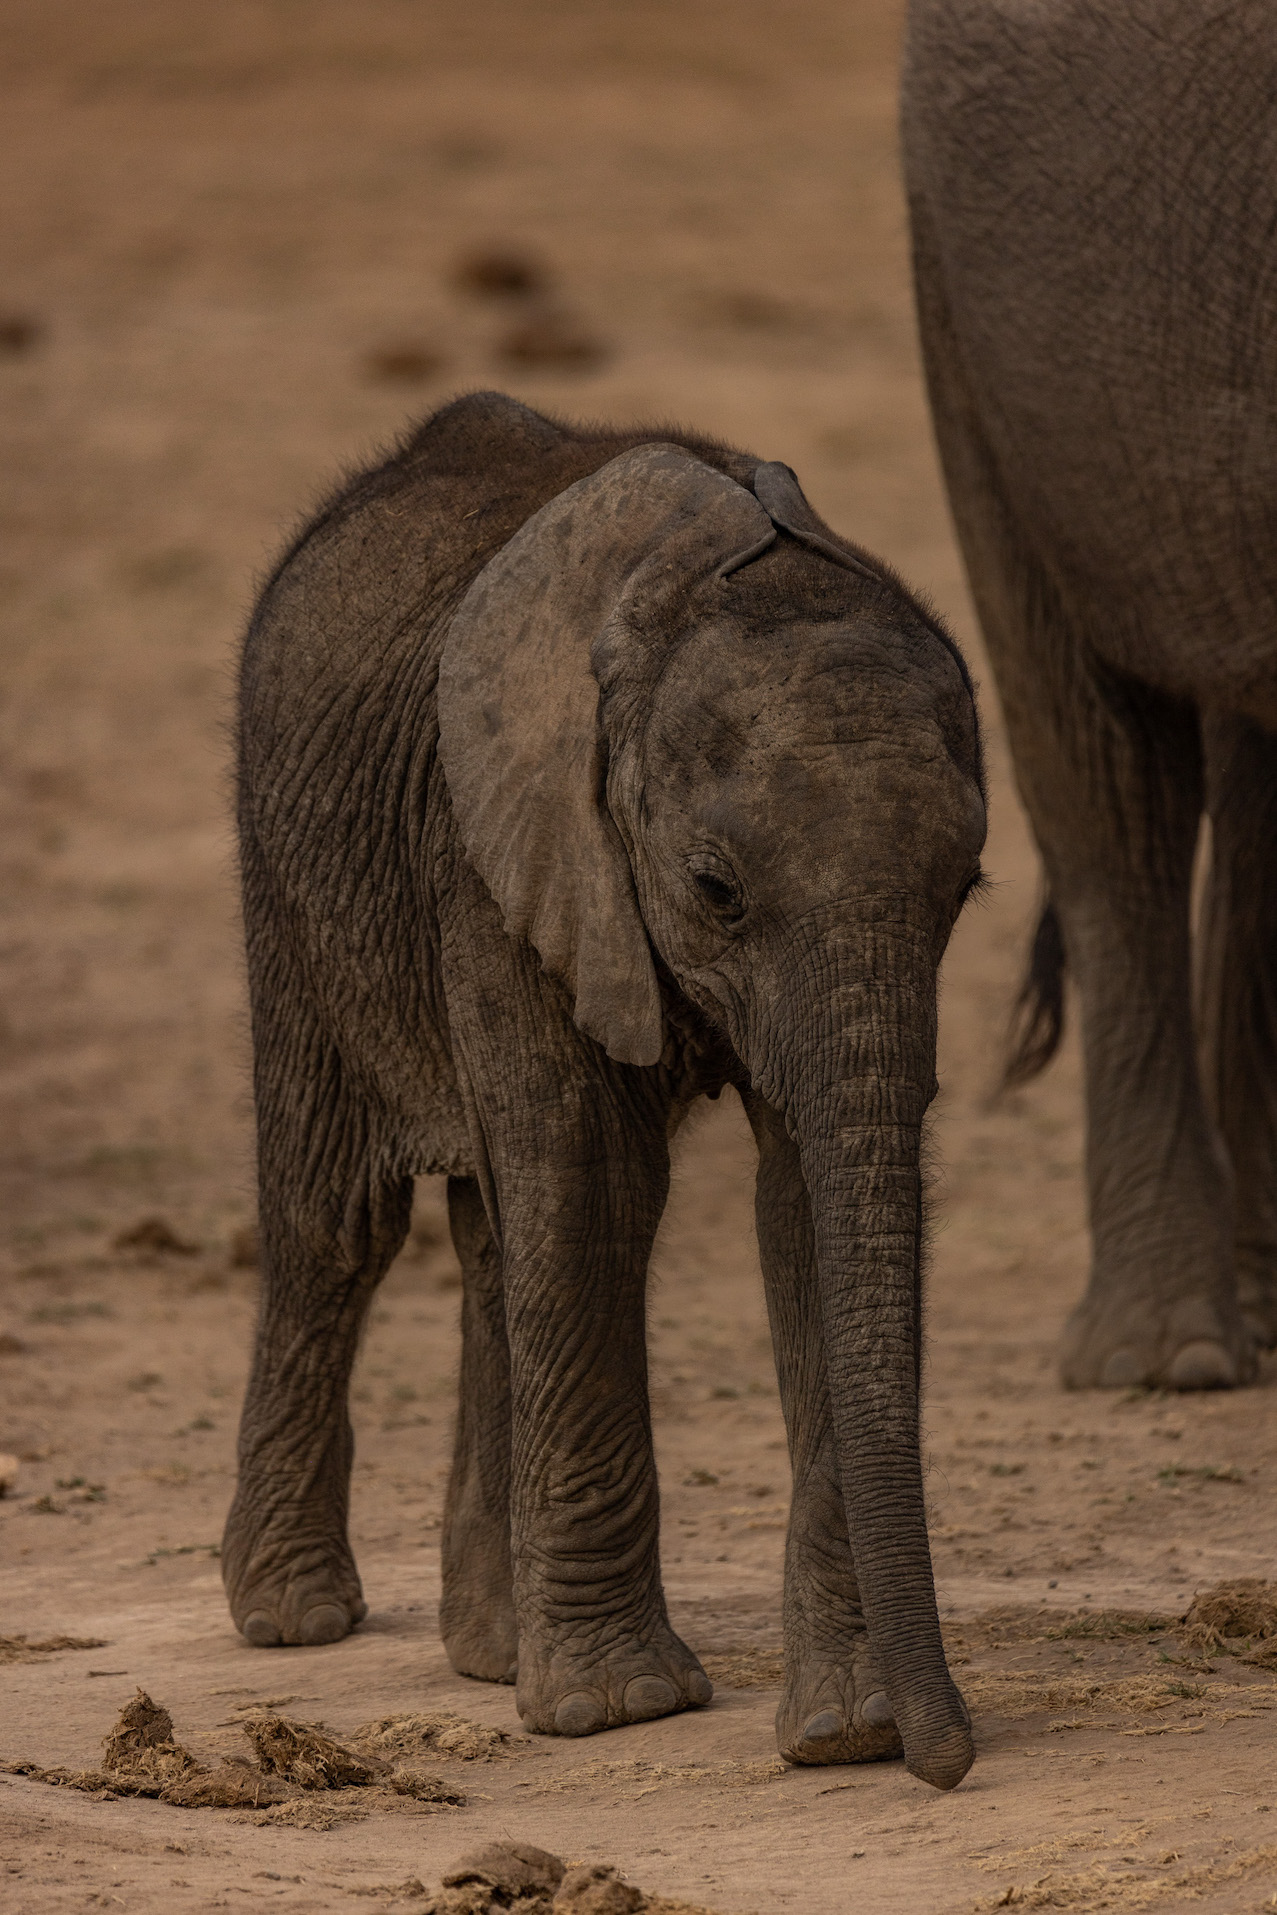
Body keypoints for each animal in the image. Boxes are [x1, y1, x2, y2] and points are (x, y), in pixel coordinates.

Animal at [224, 392, 987, 1792]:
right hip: (291, 875)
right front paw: (618, 1709)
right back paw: (294, 1618)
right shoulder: (505, 851)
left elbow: (795, 1198)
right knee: (335, 1221)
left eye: (963, 887)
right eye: (715, 889)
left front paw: (843, 1733)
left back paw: (487, 1651)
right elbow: (590, 1184)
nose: (947, 1763)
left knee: (488, 1234)